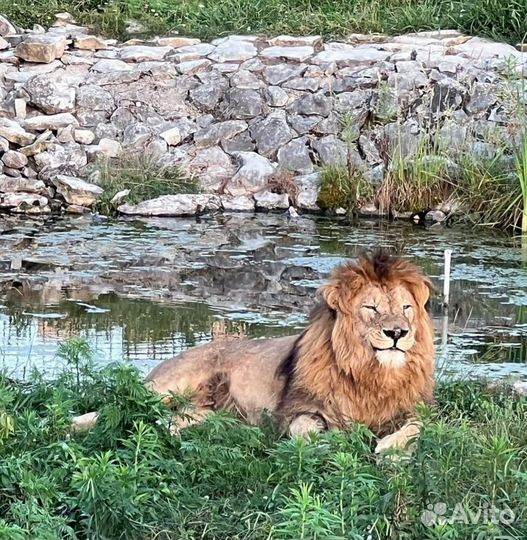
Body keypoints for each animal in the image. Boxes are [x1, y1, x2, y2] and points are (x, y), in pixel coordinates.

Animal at [72, 251, 436, 454]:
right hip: (170, 384)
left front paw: (390, 446)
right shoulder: (297, 410)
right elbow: (308, 430)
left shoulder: (414, 408)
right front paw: (335, 441)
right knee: (113, 409)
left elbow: (418, 428)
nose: (397, 333)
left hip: (199, 411)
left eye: (405, 308)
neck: (371, 374)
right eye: (372, 308)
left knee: (164, 421)